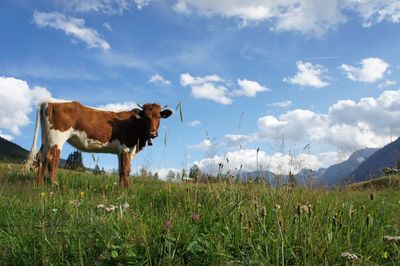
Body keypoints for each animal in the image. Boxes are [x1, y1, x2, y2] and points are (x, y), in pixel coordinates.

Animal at [24, 100, 173, 187]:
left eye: (158, 117)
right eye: (145, 117)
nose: (153, 133)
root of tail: (50, 101)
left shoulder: (120, 151)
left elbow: (121, 169)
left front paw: (120, 189)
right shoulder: (126, 147)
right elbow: (126, 169)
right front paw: (127, 189)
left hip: (46, 138)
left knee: (41, 158)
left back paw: (39, 184)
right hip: (57, 138)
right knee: (52, 159)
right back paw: (54, 184)